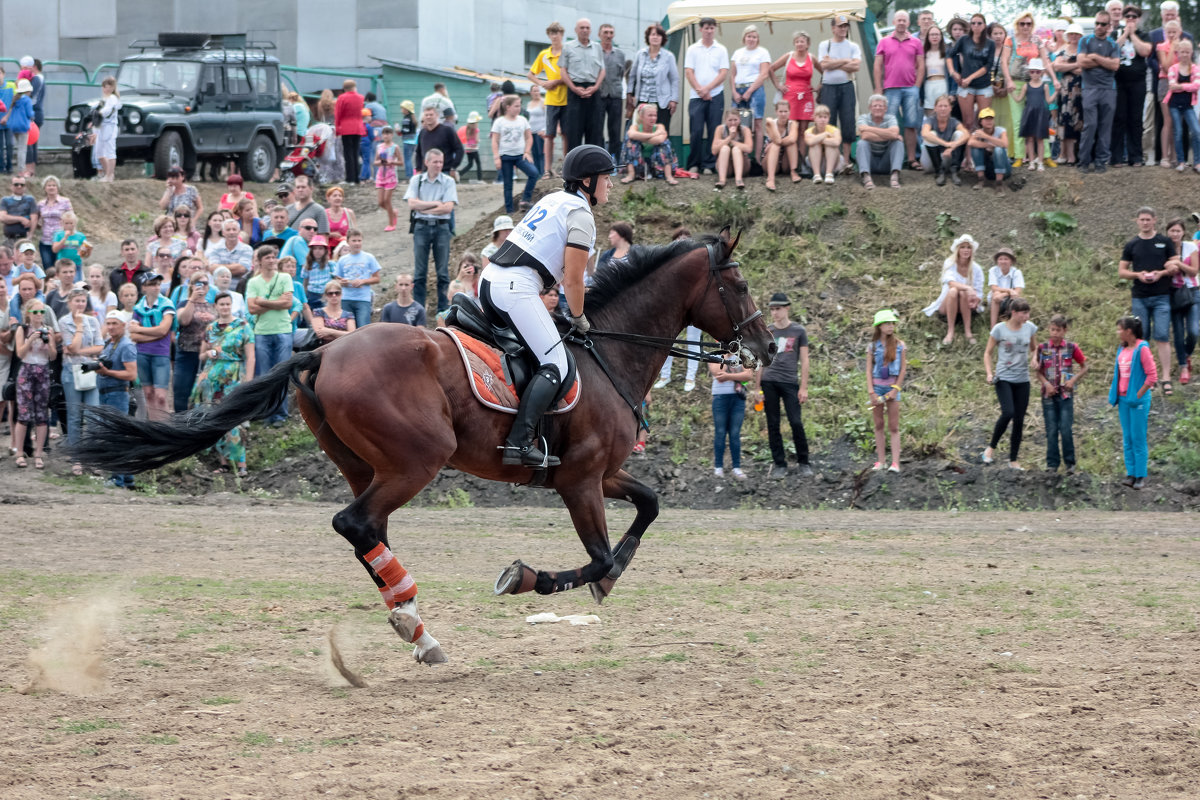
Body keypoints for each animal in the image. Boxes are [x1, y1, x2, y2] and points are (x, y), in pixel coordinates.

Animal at [75, 230, 772, 662]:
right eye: (738, 285)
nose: (764, 347)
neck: (608, 351)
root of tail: (323, 349)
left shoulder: (599, 474)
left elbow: (649, 505)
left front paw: (609, 576)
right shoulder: (578, 480)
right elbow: (596, 558)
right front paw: (525, 578)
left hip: (366, 464)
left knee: (367, 531)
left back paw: (414, 626)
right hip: (417, 459)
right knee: (355, 523)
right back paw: (414, 619)